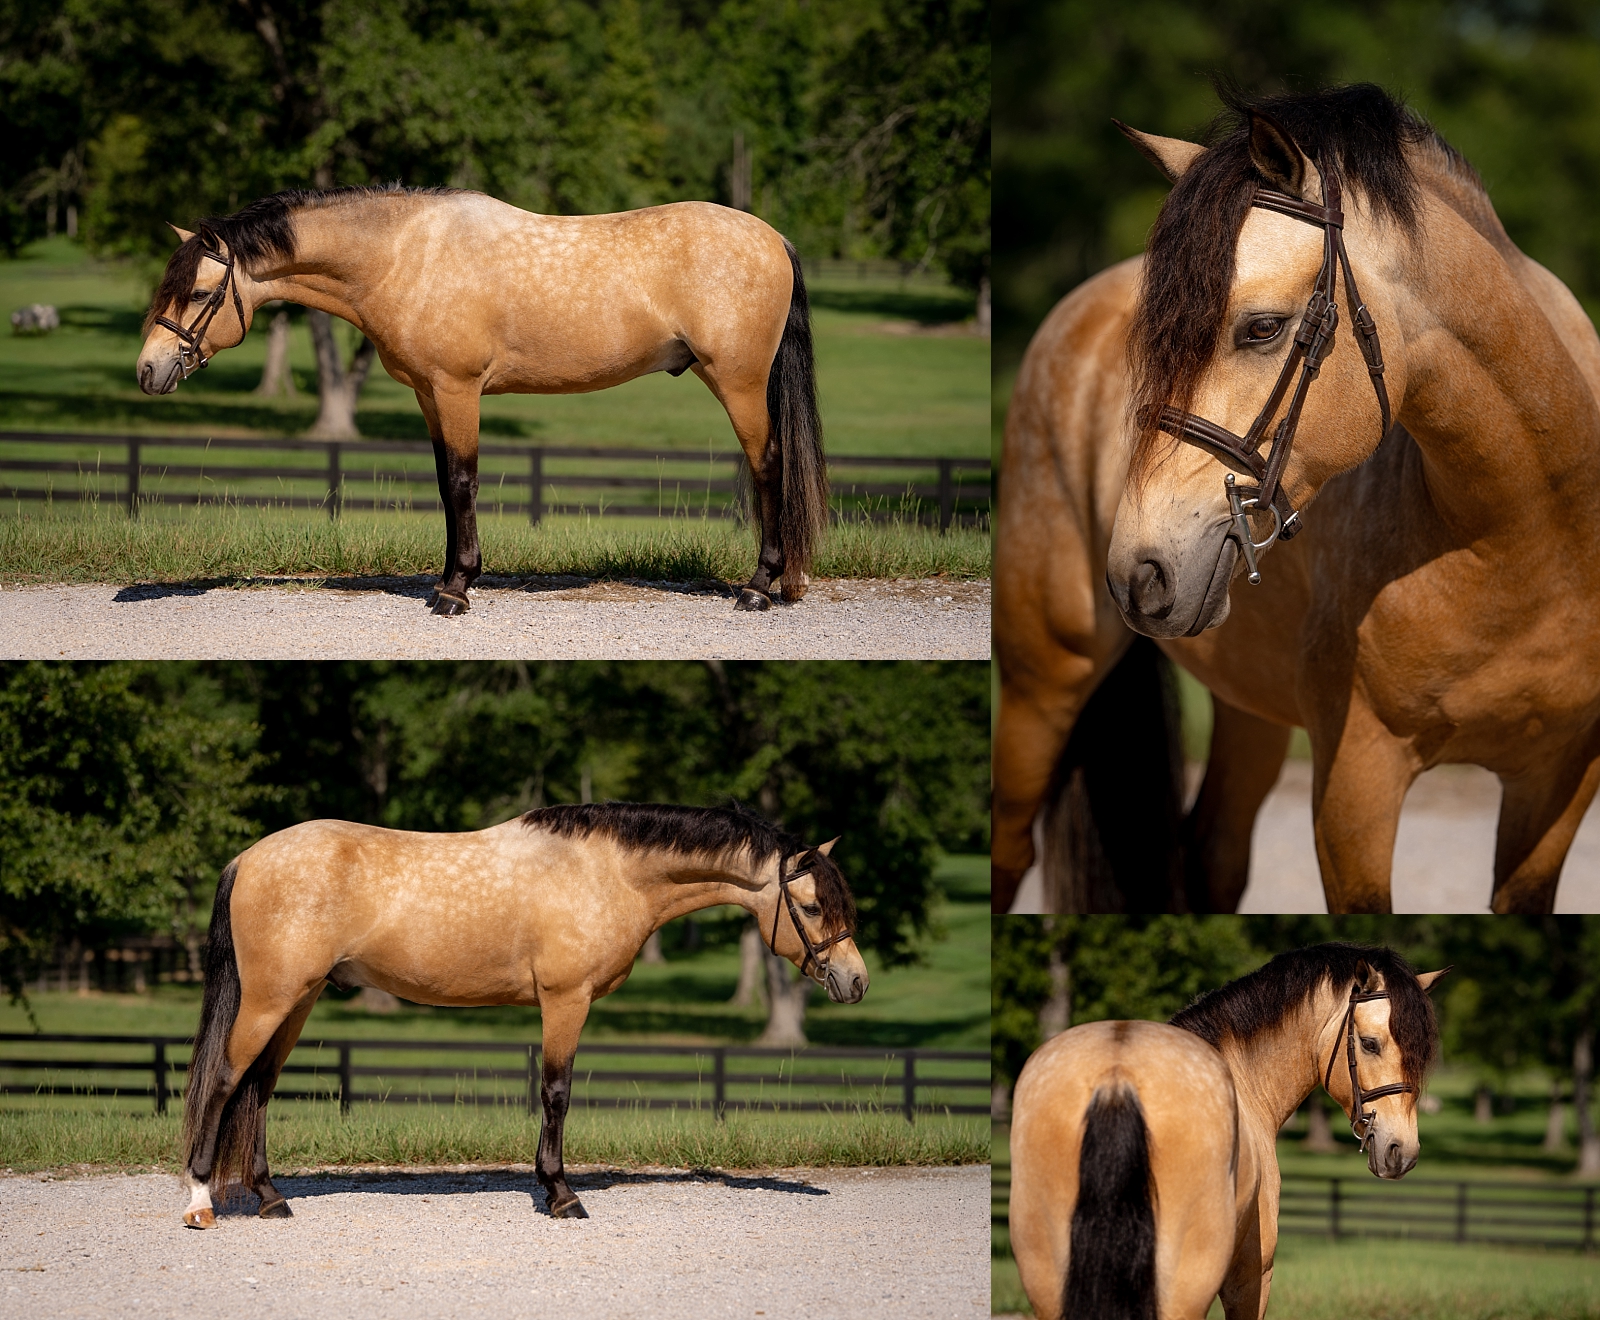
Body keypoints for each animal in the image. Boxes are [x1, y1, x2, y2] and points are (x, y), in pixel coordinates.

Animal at [135, 187, 827, 616]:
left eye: (200, 293)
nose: (148, 370)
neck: (404, 256)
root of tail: (774, 238)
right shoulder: (429, 396)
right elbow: (446, 485)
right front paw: (453, 579)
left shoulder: (458, 390)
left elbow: (464, 482)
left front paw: (455, 592)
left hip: (738, 384)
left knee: (768, 466)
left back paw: (759, 587)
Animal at [177, 801, 867, 1228]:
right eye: (810, 905)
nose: (855, 981)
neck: (608, 871)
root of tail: (248, 858)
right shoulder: (565, 1000)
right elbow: (556, 1092)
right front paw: (561, 1195)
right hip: (272, 1000)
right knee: (224, 1082)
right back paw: (201, 1201)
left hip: (298, 1000)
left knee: (260, 1088)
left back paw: (271, 1199)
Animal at [994, 83, 1600, 915]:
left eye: (1263, 328)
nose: (1139, 574)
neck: (1529, 534)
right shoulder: (1356, 785)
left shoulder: (1559, 784)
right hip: (1043, 681)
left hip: (1247, 704)